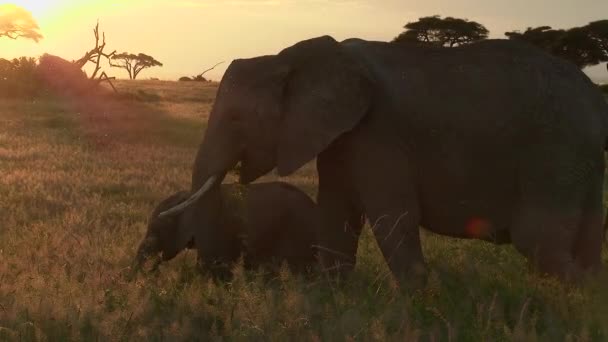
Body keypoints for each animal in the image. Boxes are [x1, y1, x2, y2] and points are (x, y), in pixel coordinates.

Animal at [162, 36, 608, 284]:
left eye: (237, 119)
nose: (217, 279)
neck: (286, 57)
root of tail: (594, 98)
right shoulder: (341, 136)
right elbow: (336, 213)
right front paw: (332, 301)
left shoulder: (380, 134)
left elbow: (391, 216)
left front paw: (416, 307)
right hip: (578, 159)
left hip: (554, 151)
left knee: (538, 240)